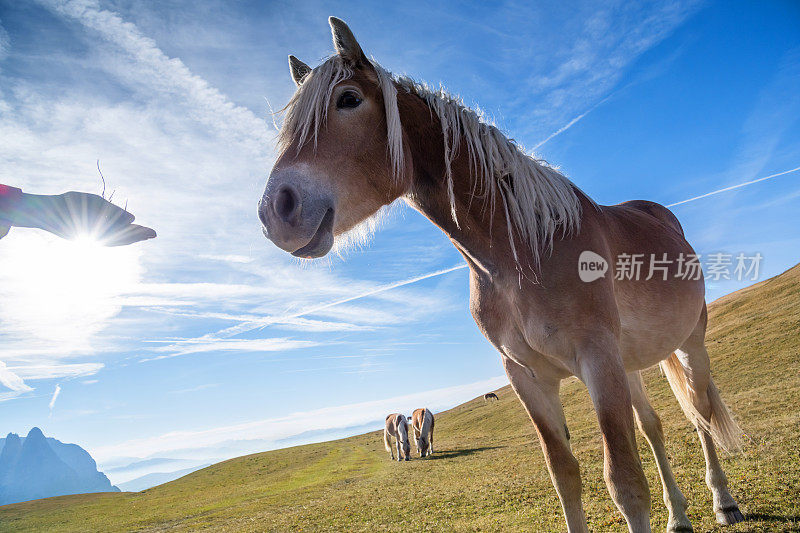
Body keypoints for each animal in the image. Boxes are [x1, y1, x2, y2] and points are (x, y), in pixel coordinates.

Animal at [260, 17, 748, 532]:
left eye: (348, 99)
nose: (276, 210)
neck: (522, 253)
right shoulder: (528, 377)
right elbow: (564, 476)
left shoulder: (598, 360)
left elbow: (626, 482)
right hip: (630, 364)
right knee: (654, 427)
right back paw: (678, 515)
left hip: (688, 343)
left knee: (699, 413)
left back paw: (724, 502)